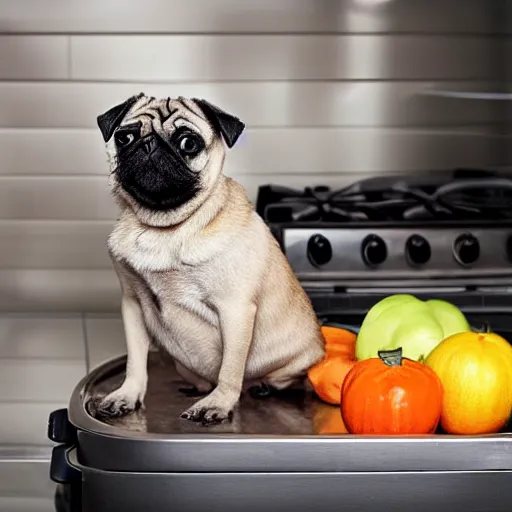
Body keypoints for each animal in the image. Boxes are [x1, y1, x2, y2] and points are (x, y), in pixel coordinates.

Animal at [89, 93, 324, 424]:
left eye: (189, 143)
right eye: (125, 138)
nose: (148, 146)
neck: (164, 227)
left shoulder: (235, 309)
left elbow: (231, 368)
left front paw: (219, 403)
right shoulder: (132, 304)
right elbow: (135, 361)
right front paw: (127, 394)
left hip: (294, 362)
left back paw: (260, 387)